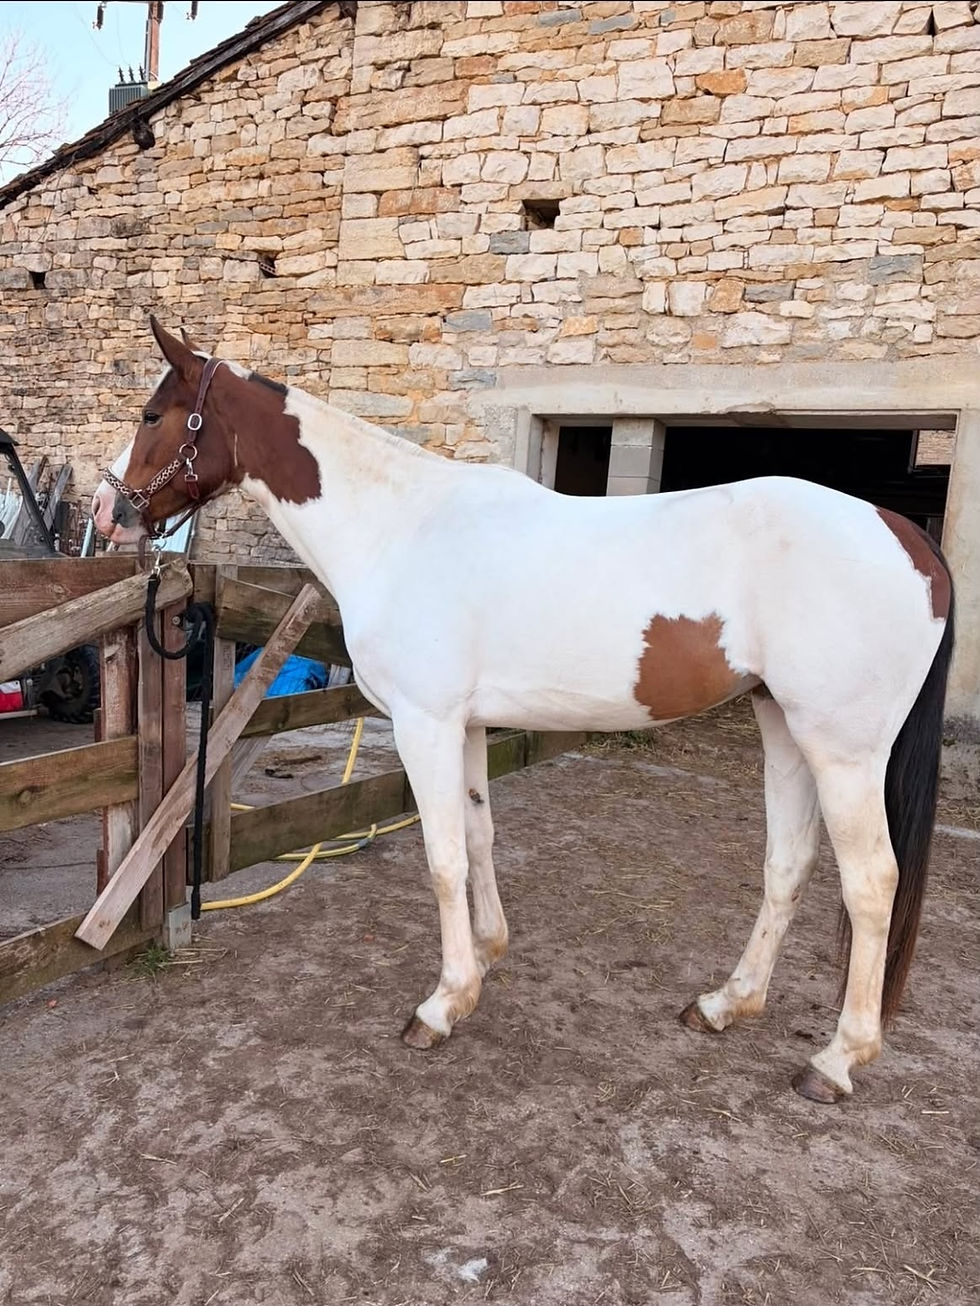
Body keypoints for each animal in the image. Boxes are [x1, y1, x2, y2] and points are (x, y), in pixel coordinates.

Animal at [92, 319, 954, 1103]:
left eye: (153, 415)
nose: (108, 512)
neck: (399, 529)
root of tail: (904, 534)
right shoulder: (467, 725)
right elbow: (479, 836)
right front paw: (485, 957)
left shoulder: (425, 722)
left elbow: (442, 857)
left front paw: (442, 1005)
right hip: (784, 728)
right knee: (788, 864)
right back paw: (724, 1004)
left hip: (844, 751)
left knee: (871, 881)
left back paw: (836, 1062)